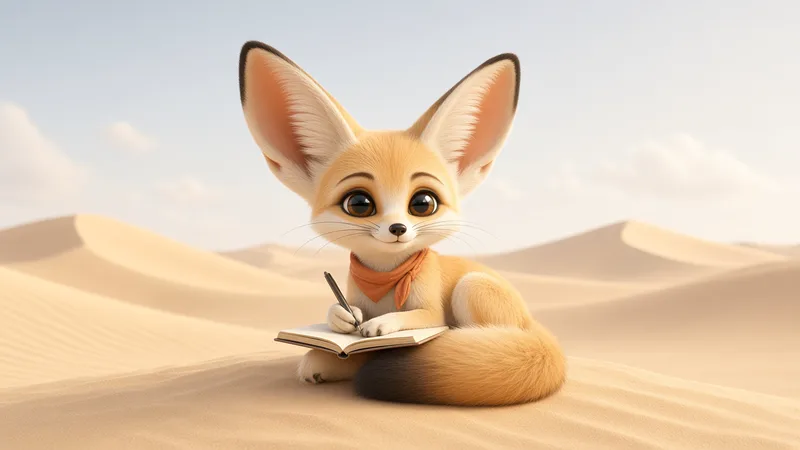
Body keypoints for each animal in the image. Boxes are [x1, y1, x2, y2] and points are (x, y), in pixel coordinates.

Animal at [237, 40, 567, 406]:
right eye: (359, 203)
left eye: (423, 203)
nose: (398, 229)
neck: (385, 279)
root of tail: (534, 323)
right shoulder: (354, 295)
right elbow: (341, 314)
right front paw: (342, 320)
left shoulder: (431, 312)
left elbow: (412, 319)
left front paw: (381, 327)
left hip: (471, 287)